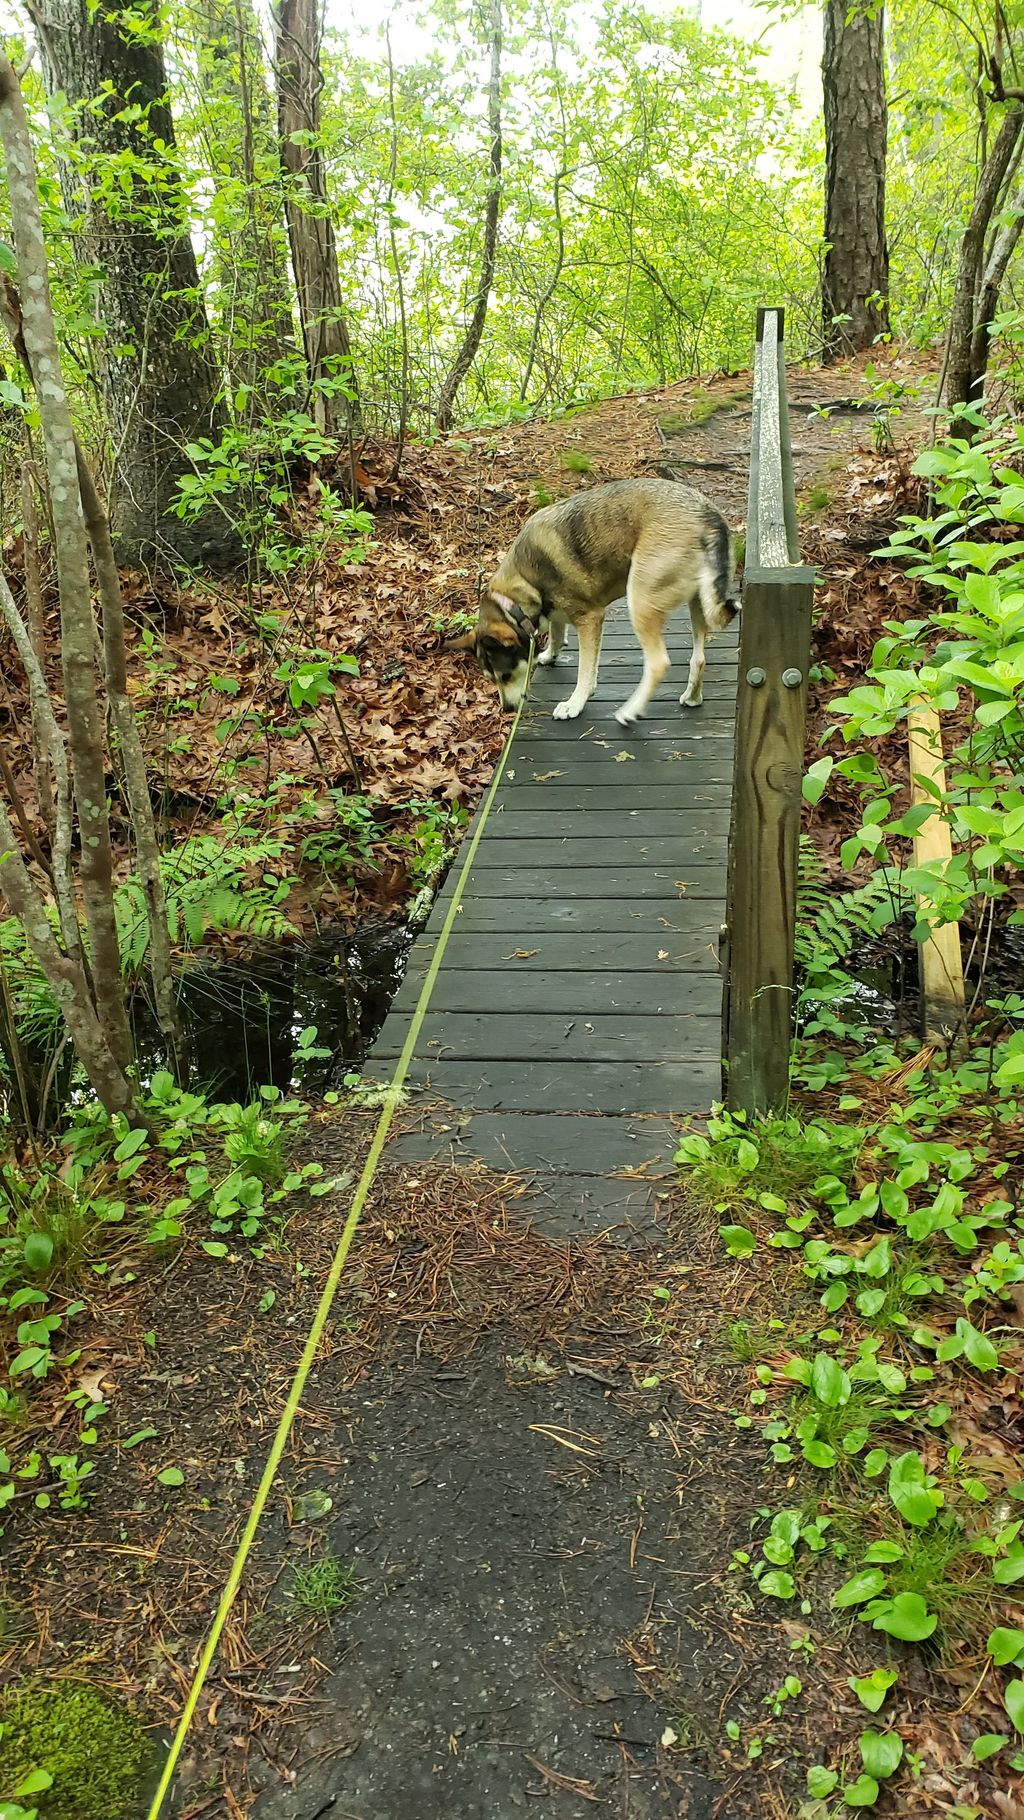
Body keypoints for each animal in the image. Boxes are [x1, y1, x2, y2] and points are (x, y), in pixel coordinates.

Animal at [445, 476, 742, 724]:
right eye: (490, 679)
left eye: (505, 676)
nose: (506, 709)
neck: (522, 586)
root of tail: (707, 517)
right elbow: (557, 633)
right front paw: (549, 654)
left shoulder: (590, 619)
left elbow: (584, 672)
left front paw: (575, 703)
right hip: (699, 602)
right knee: (698, 658)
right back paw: (692, 697)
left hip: (641, 600)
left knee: (659, 663)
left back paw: (630, 710)